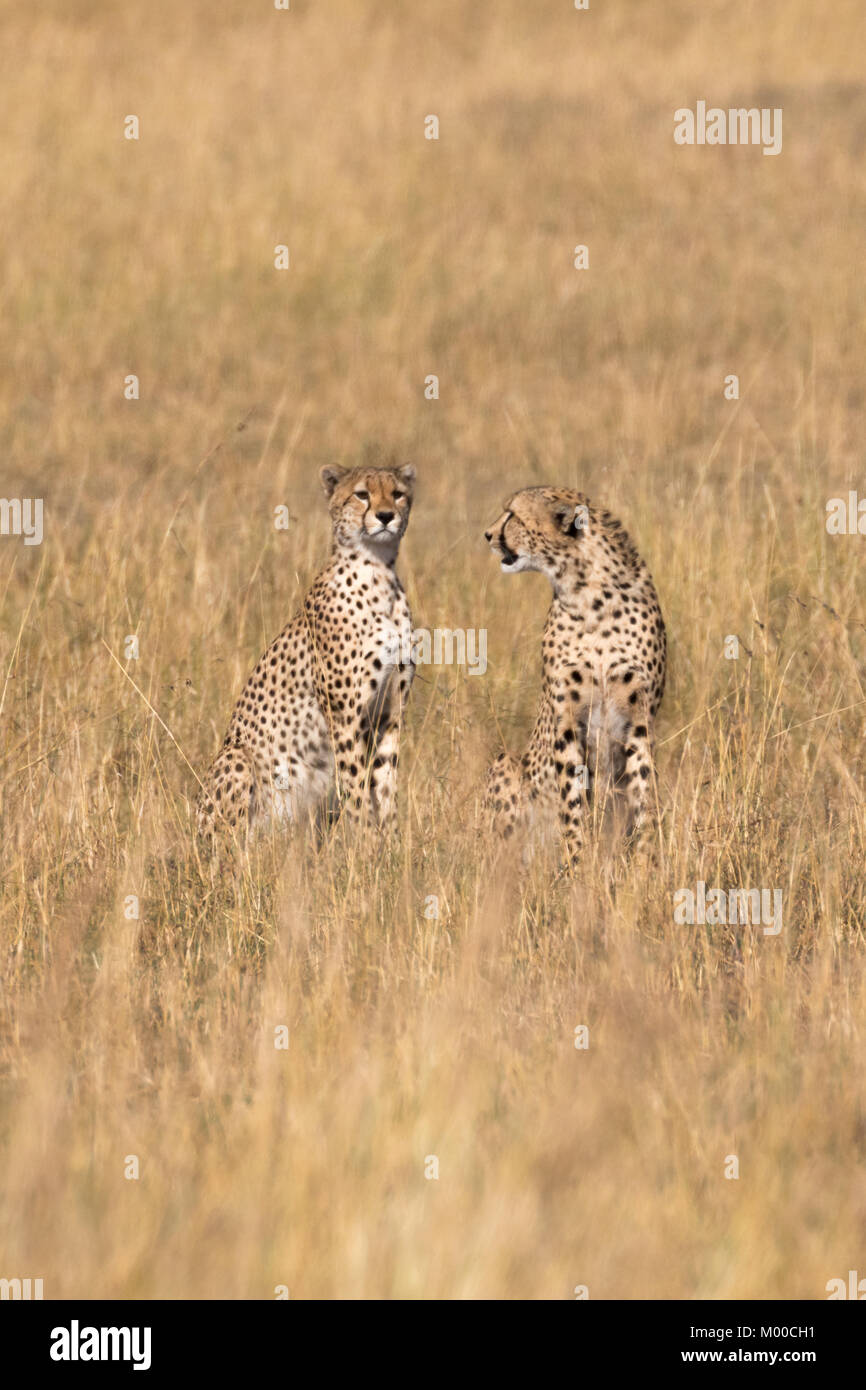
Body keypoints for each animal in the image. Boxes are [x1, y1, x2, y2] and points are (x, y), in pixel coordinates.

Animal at [198, 464, 414, 834]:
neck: (379, 571)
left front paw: (392, 841)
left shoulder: (390, 712)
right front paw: (364, 839)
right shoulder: (345, 715)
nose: (386, 516)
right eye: (362, 494)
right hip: (237, 758)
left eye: (398, 494)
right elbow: (356, 786)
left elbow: (385, 785)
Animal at [483, 489, 667, 856]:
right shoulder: (567, 719)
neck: (589, 594)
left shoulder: (640, 720)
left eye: (512, 515)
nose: (487, 534)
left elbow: (642, 793)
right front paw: (575, 860)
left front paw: (645, 860)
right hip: (505, 763)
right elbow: (572, 798)